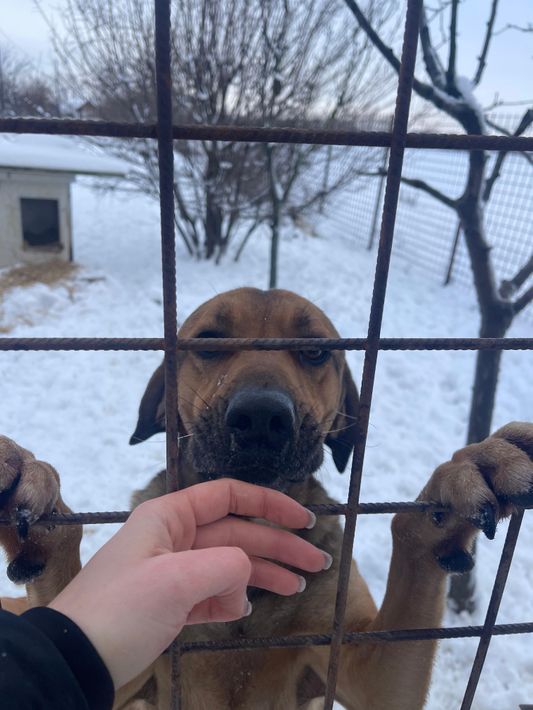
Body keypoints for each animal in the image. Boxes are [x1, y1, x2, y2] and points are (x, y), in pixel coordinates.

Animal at [1, 287, 532, 709]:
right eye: (209, 342)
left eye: (316, 351)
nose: (260, 417)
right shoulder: (127, 677)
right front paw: (33, 496)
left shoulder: (364, 671)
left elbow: (412, 534)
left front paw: (458, 482)